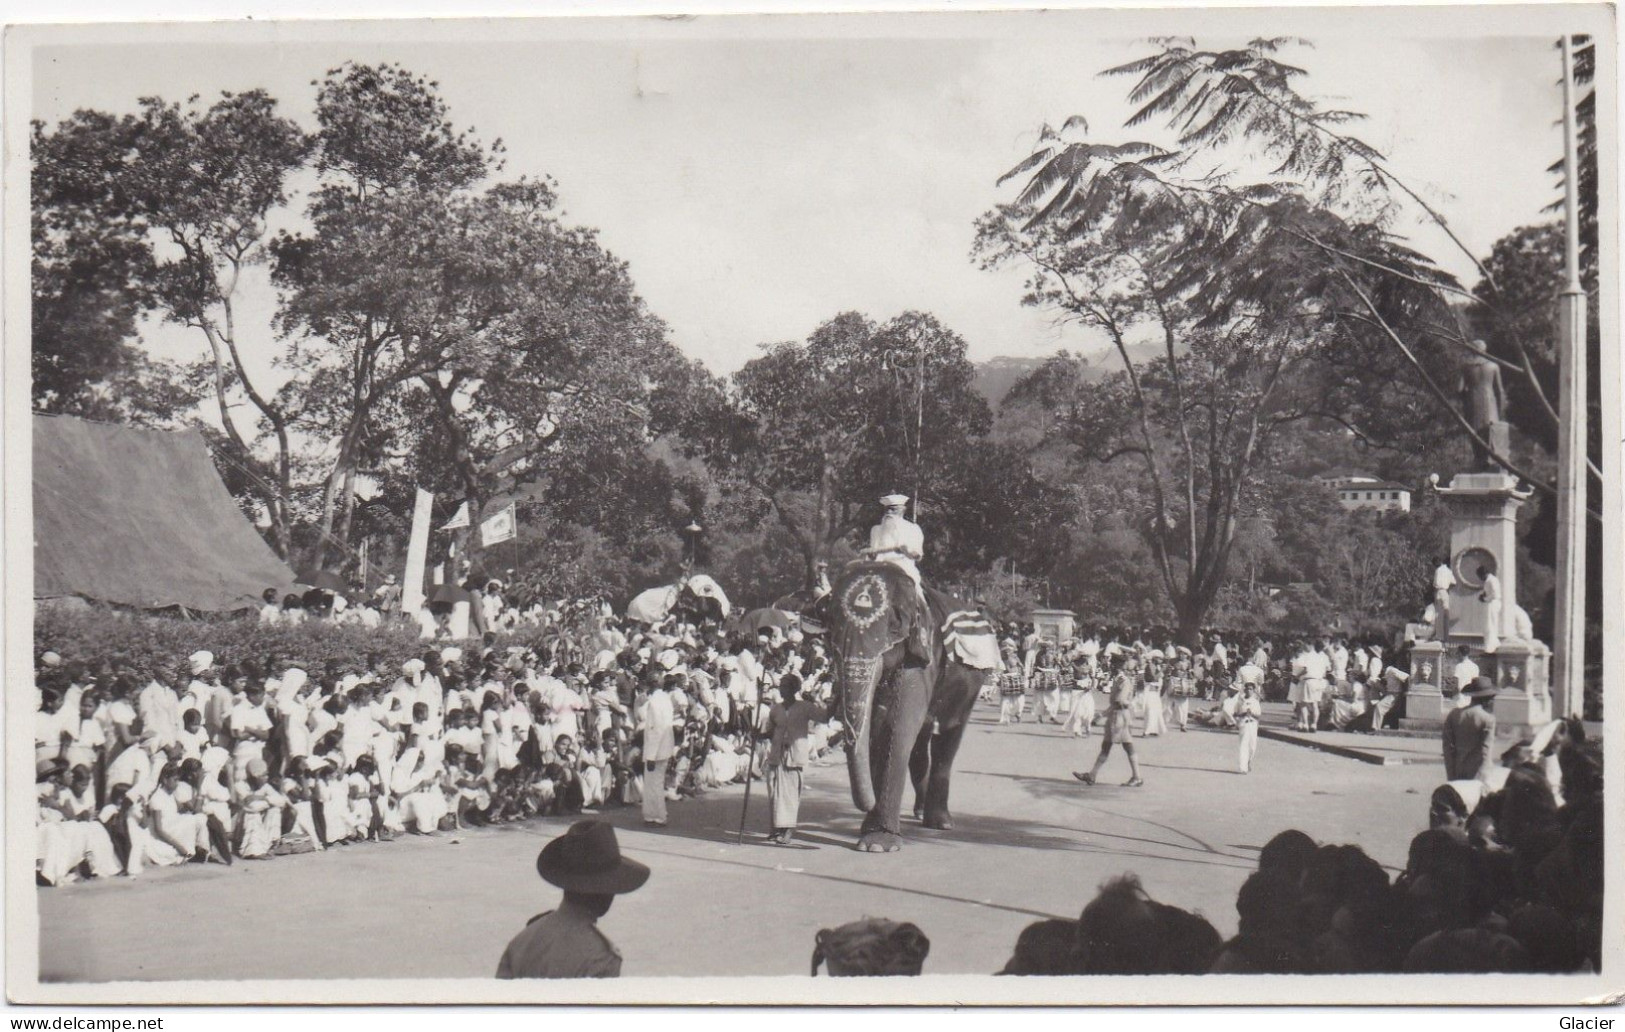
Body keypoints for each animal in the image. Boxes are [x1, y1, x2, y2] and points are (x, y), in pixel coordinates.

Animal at [832, 562, 981, 851]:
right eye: (832, 625)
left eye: (894, 628)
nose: (866, 803)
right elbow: (879, 727)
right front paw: (870, 835)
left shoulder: (926, 655)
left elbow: (896, 727)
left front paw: (878, 843)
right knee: (920, 751)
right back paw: (921, 812)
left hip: (969, 691)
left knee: (948, 742)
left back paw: (941, 823)